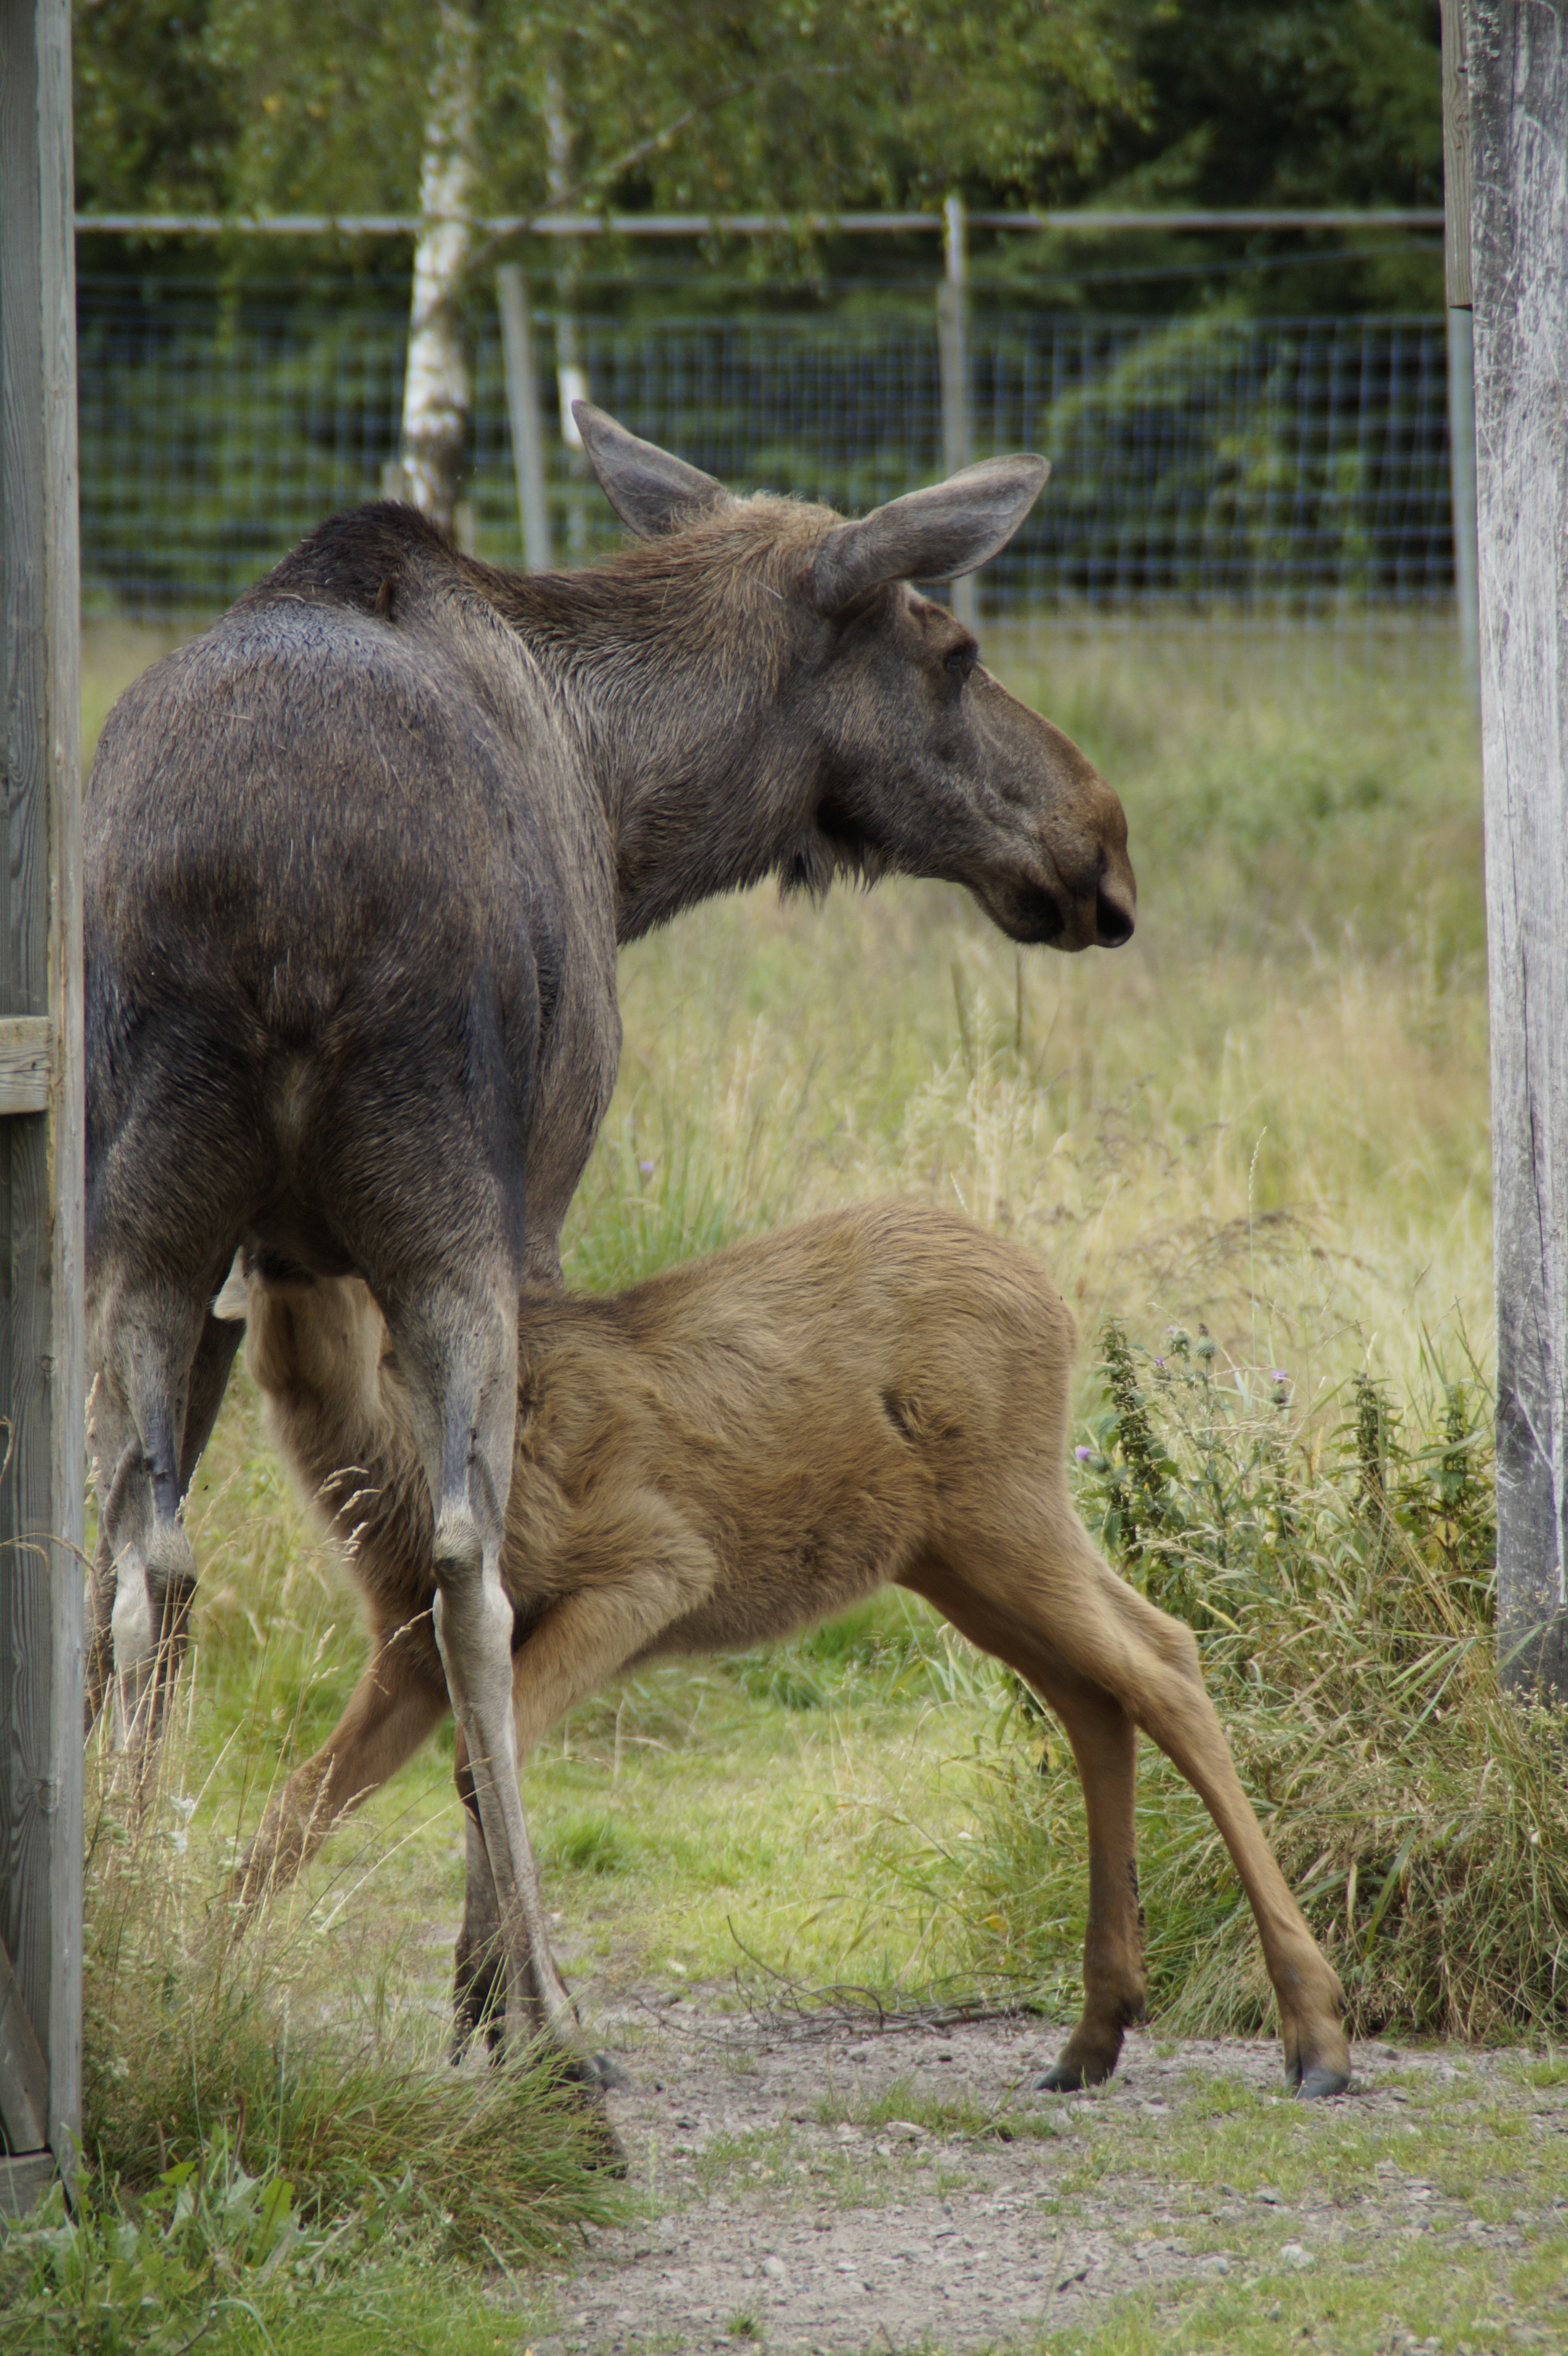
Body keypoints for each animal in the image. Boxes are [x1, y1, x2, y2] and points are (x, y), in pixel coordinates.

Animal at [85, 410, 1130, 2083]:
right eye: (953, 647)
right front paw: (487, 2000)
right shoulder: (544, 1204)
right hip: (445, 1211)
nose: (1098, 842)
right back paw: (550, 2013)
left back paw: (116, 1935)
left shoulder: (233, 1272)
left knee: (142, 1557)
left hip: (147, 1216)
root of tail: (277, 894)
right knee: (466, 1573)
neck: (632, 811)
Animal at [229, 1206, 1347, 2092]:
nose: (267, 1258)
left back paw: (1314, 2035)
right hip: (948, 1553)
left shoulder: (651, 1562)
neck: (398, 1480)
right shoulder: (409, 1650)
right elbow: (295, 1813)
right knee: (1095, 1692)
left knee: (1163, 1658)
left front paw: (545, 2034)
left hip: (1003, 1506)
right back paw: (1093, 2036)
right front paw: (211, 1988)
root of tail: (1056, 1301)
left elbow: (479, 1761)